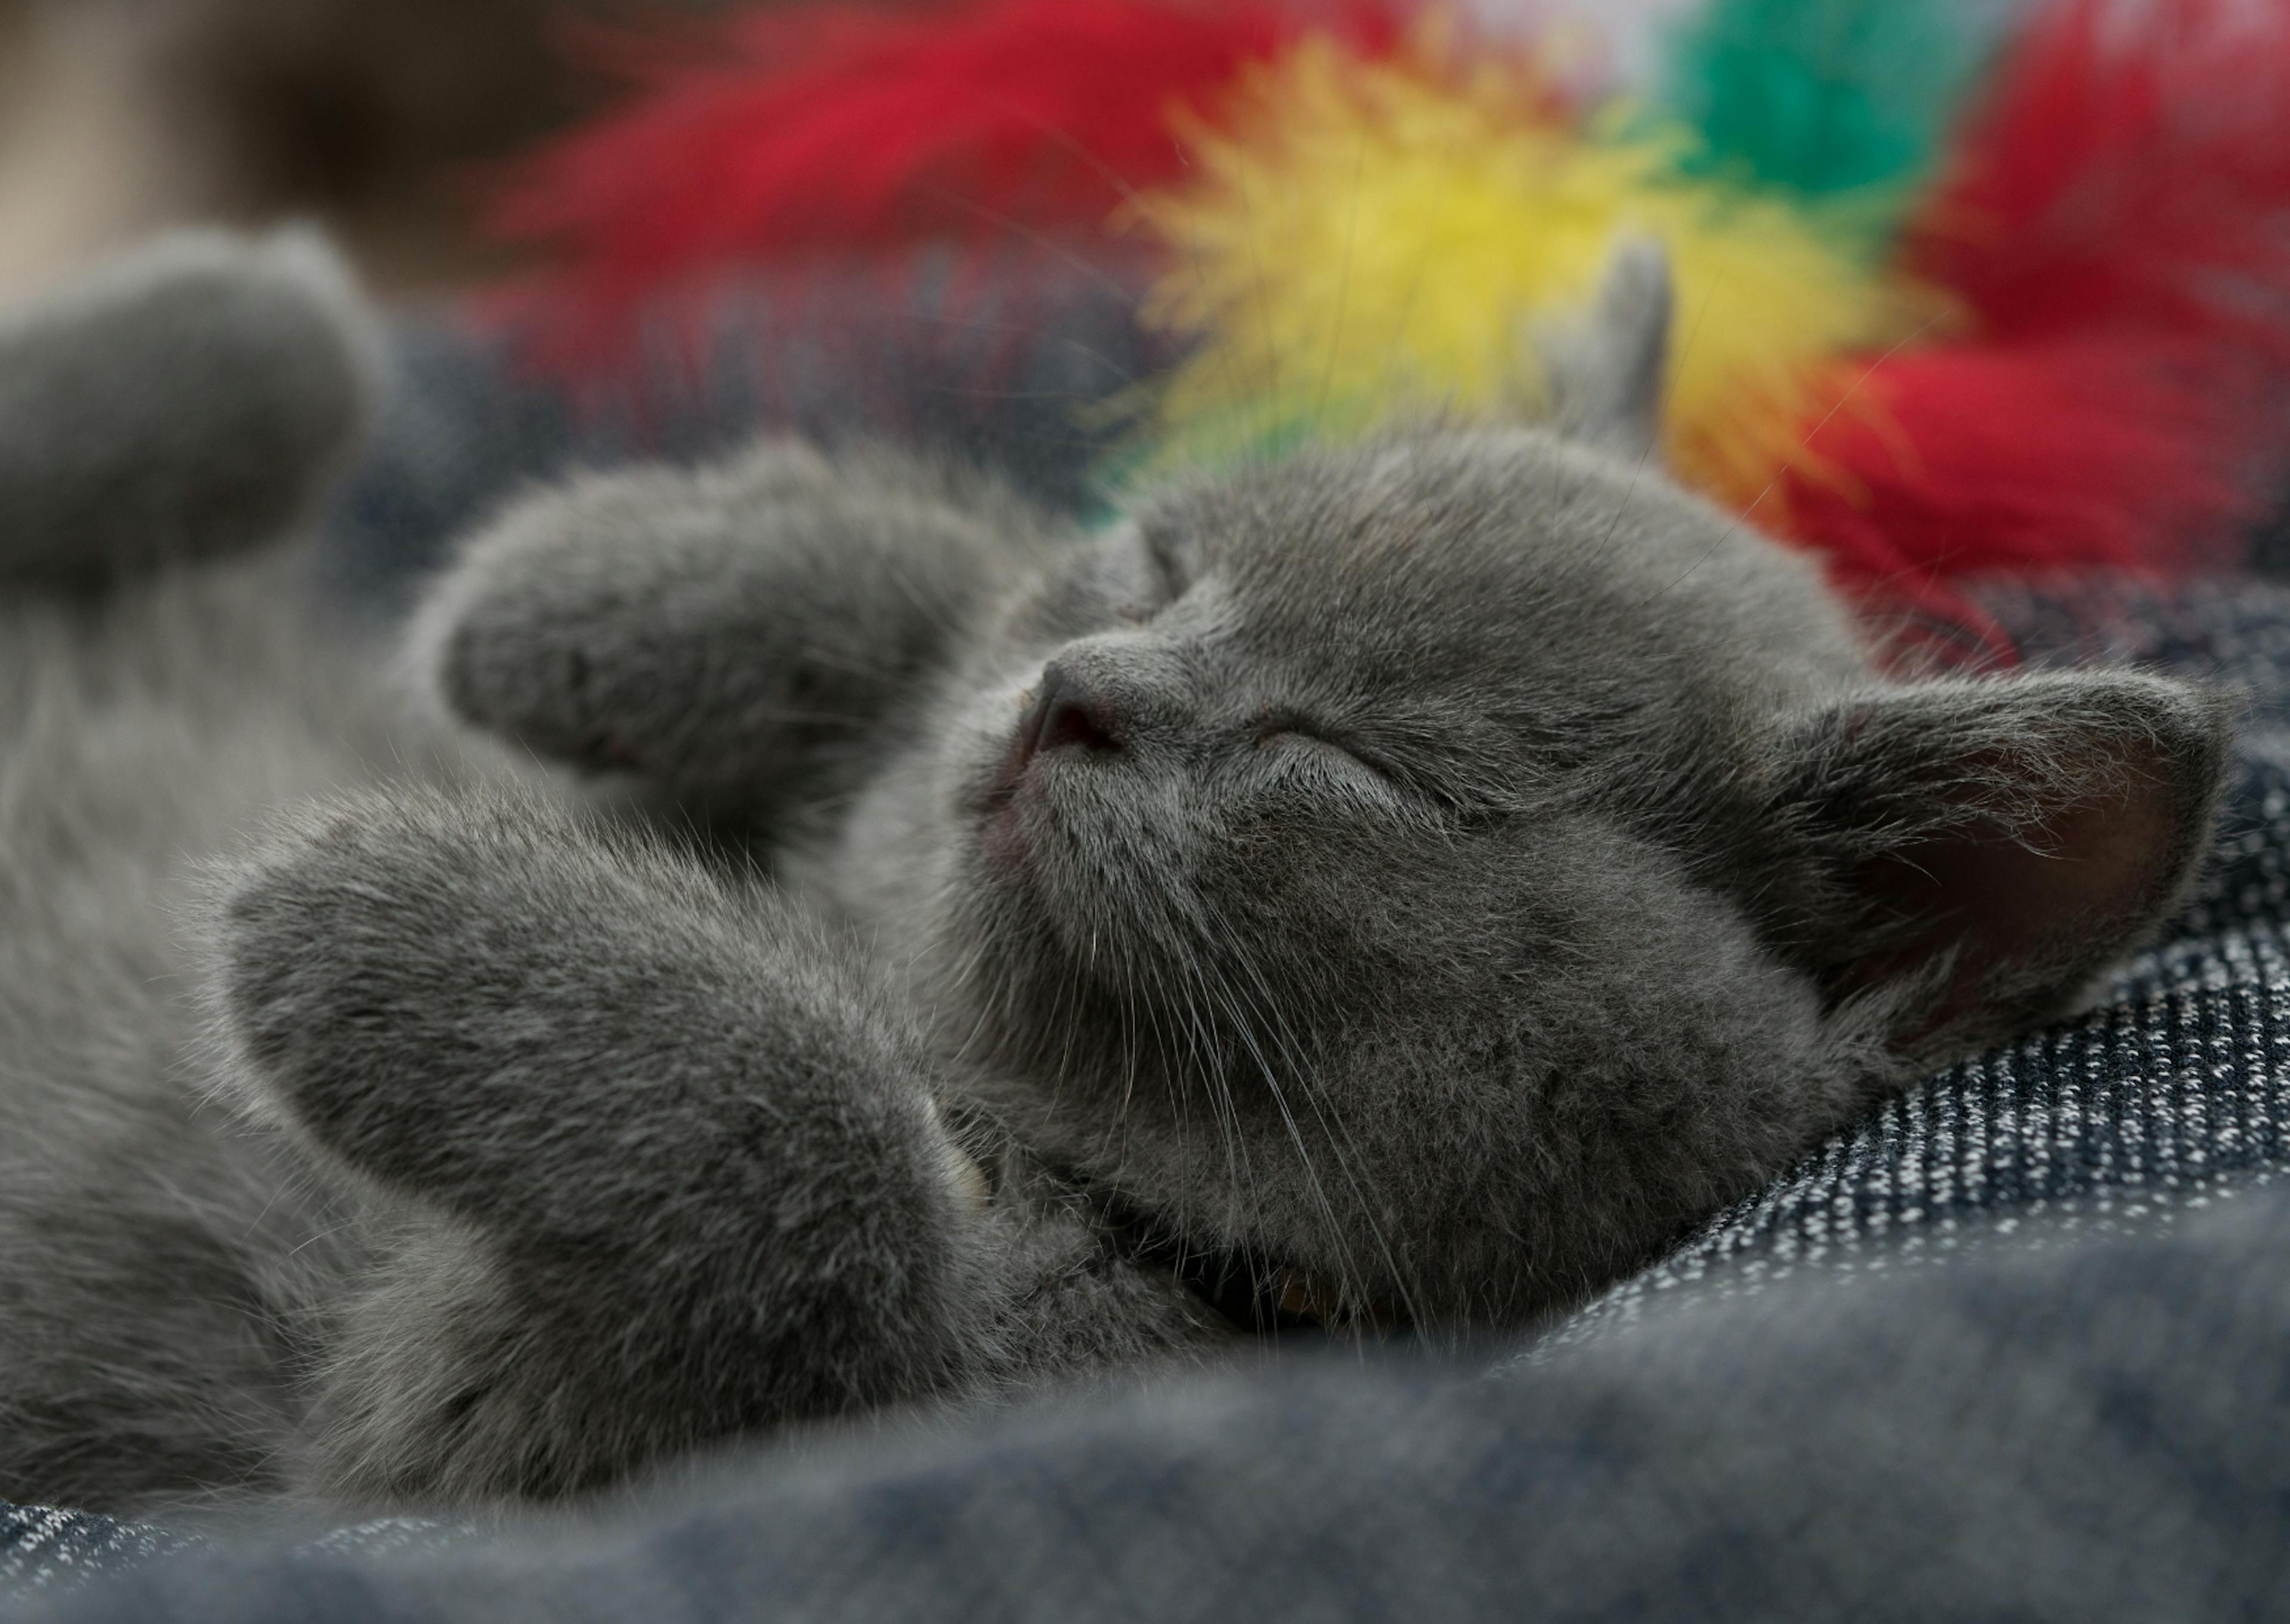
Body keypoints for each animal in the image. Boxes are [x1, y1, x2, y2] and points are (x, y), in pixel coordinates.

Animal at [0, 224, 2226, 1511]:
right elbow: (919, 587)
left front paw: (342, 901)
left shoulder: (477, 1435)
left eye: (1352, 761)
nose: (1081, 696)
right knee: (288, 381)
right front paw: (570, 598)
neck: (1014, 1134)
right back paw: (256, 301)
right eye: (1160, 558)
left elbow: (808, 1143)